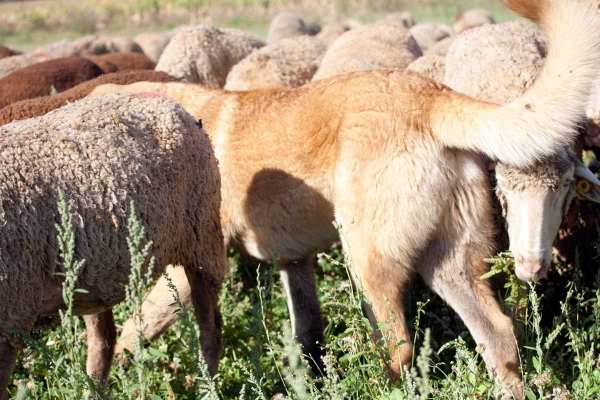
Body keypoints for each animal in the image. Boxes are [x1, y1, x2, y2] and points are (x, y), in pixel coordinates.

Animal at [0, 92, 227, 396]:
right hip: (93, 277)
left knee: (211, 327)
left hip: (202, 237)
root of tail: (171, 104)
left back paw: (208, 390)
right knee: (104, 339)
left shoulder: (10, 321)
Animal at [90, 0, 600, 394]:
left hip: (369, 260)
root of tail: (431, 96)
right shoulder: (294, 263)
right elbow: (307, 334)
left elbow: (134, 330)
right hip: (448, 264)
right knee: (498, 335)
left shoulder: (187, 270)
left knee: (398, 348)